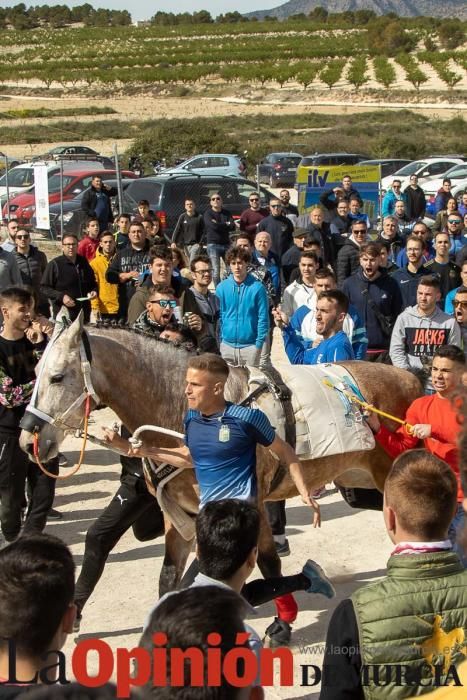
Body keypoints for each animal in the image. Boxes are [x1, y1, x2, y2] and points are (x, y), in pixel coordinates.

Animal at [19, 314, 420, 600]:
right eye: (35, 372)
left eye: (57, 377)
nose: (29, 438)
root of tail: (410, 379)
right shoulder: (180, 515)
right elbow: (170, 577)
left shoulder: (251, 503)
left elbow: (269, 566)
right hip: (358, 478)